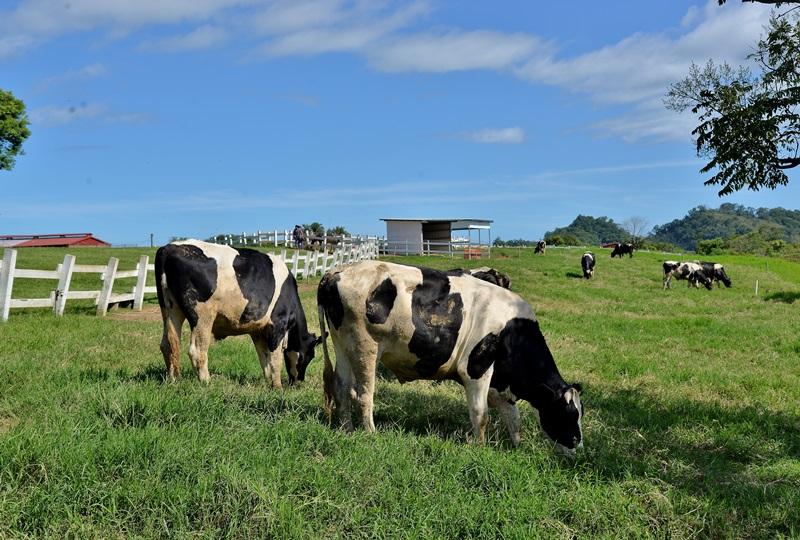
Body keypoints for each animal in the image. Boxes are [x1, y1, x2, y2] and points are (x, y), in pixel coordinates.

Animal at [155, 239, 320, 384]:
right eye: (309, 355)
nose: (299, 382)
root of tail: (169, 248)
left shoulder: (258, 330)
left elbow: (264, 357)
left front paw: (268, 382)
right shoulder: (278, 323)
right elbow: (275, 358)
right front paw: (277, 386)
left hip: (170, 310)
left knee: (168, 345)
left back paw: (174, 380)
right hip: (203, 315)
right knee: (197, 350)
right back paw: (206, 382)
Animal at [316, 262, 584, 456]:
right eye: (568, 414)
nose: (578, 446)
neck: (513, 329)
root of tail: (337, 272)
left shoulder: (499, 381)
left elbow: (513, 415)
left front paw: (518, 445)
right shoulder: (475, 369)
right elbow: (481, 414)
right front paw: (479, 447)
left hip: (343, 346)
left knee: (342, 388)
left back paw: (347, 430)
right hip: (365, 348)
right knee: (363, 395)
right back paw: (371, 434)